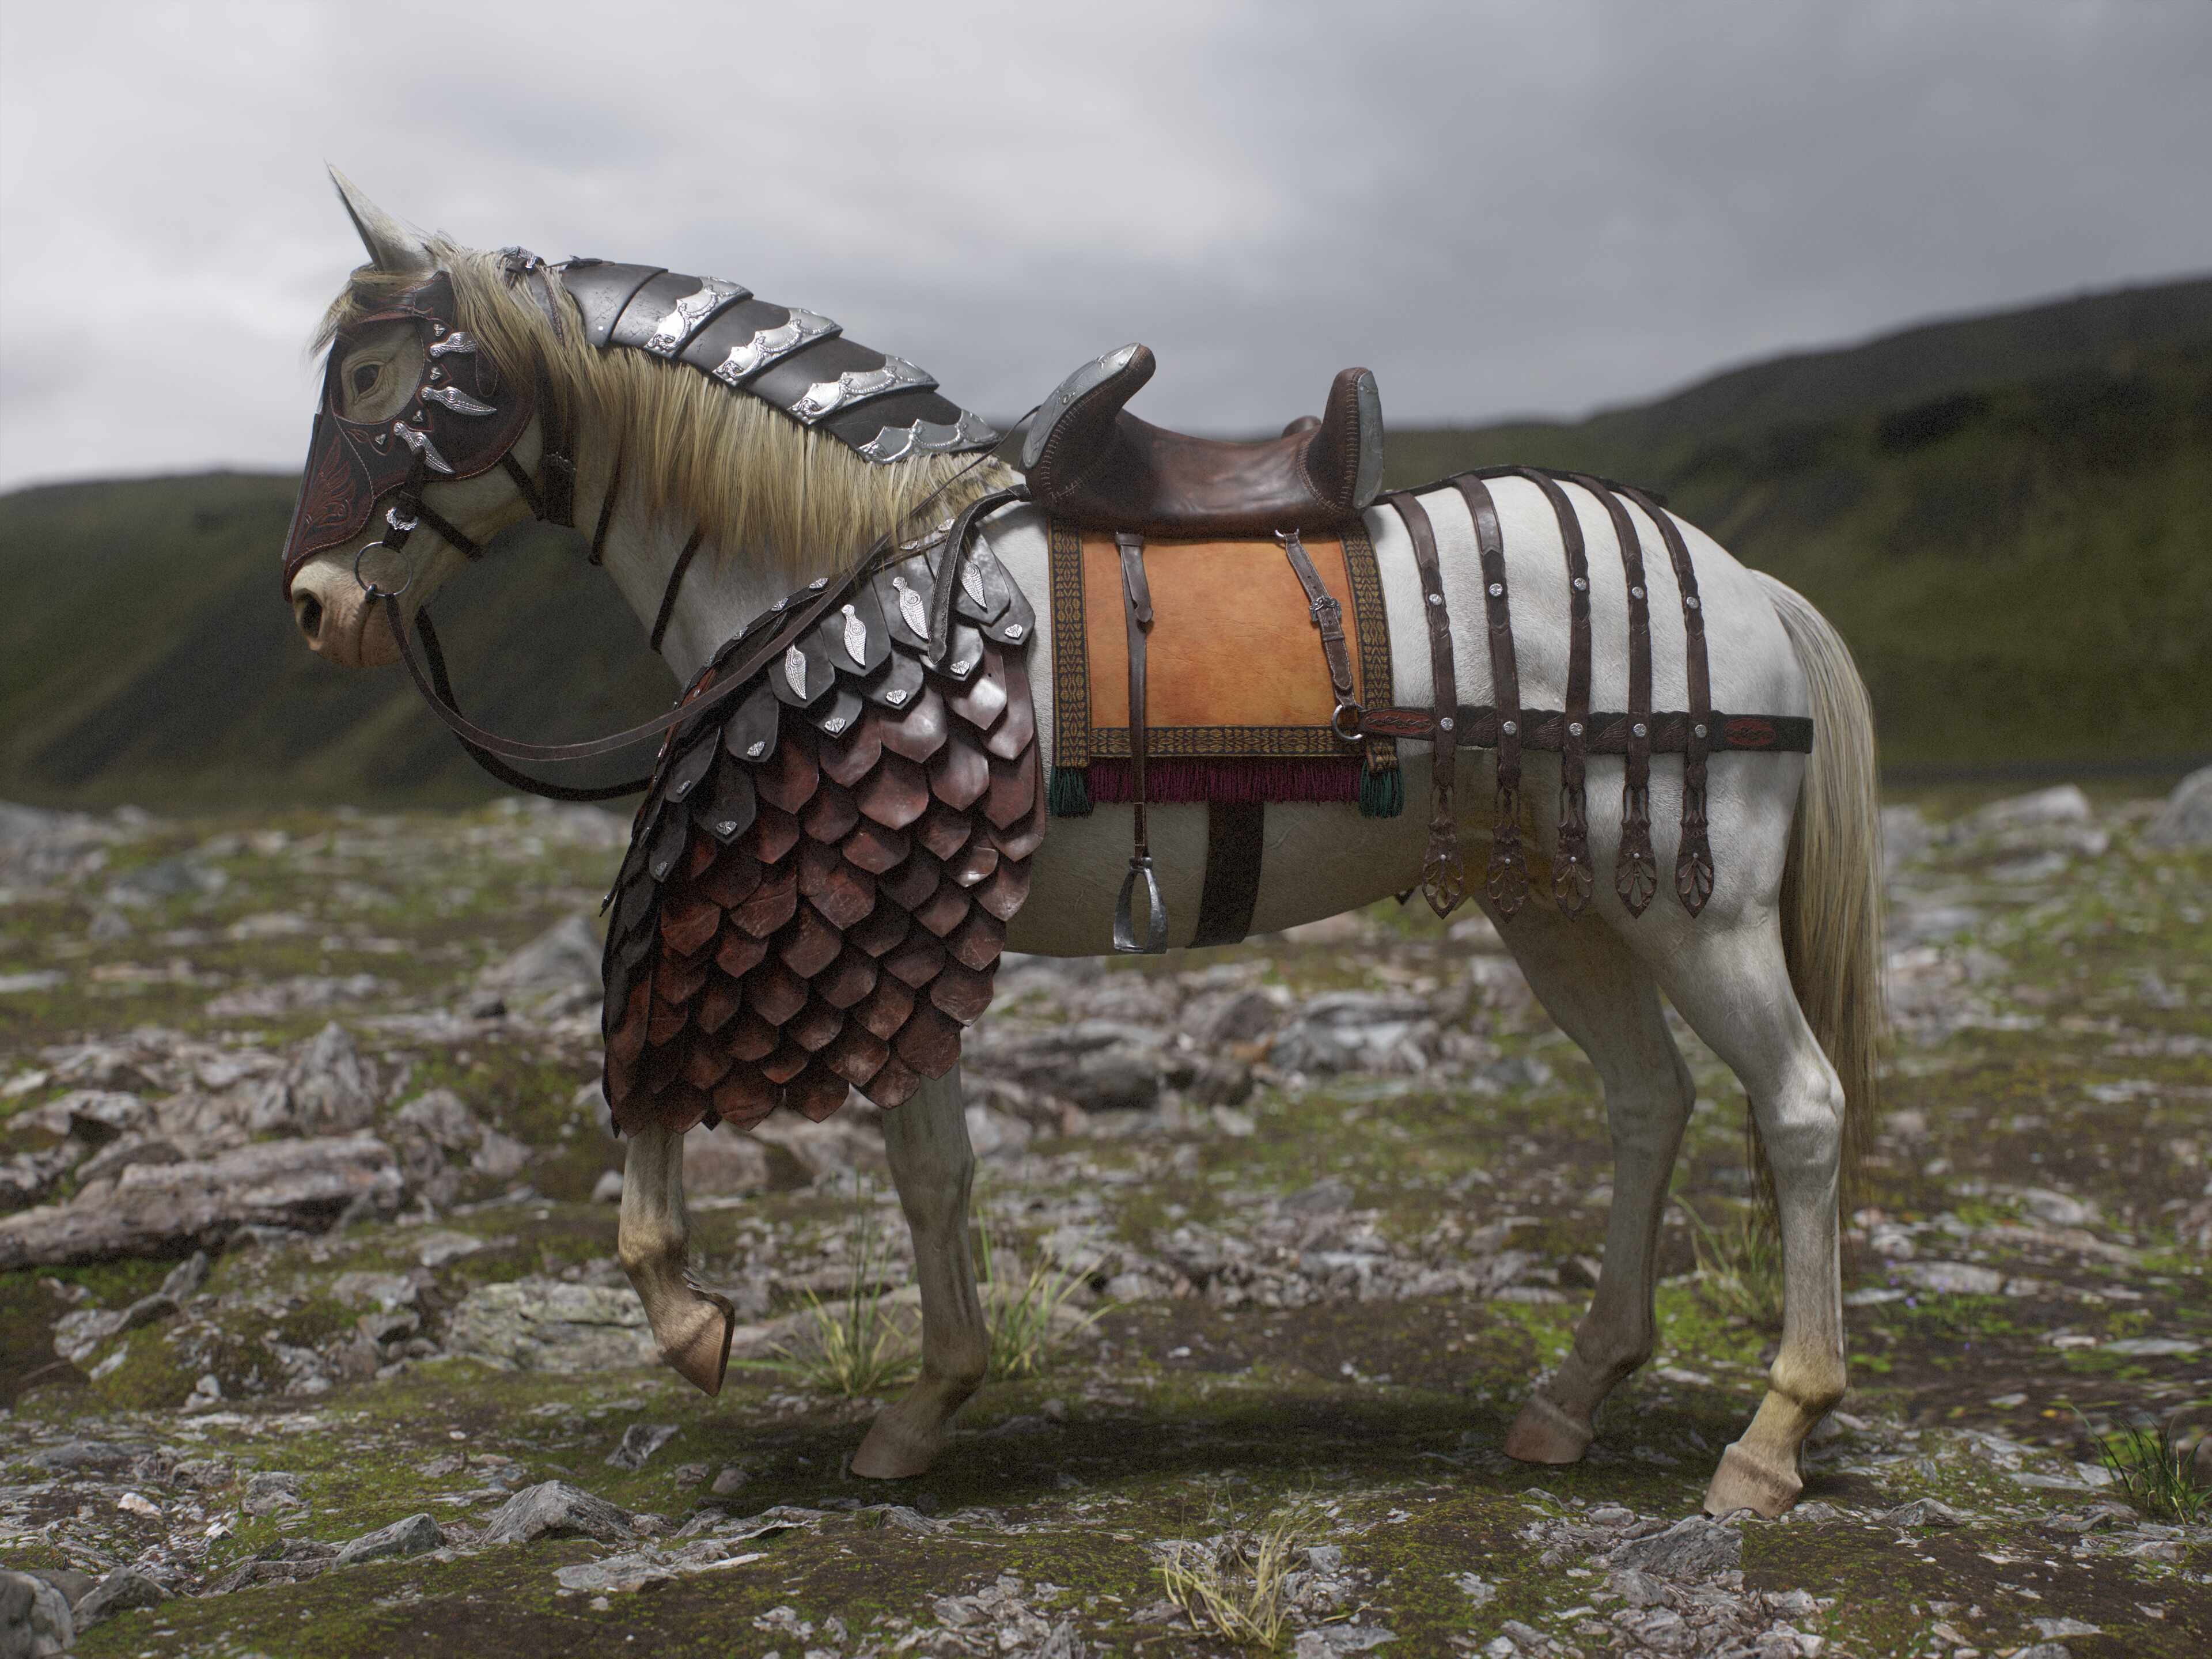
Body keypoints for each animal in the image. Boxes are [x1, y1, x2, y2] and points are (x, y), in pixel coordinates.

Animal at [281, 173, 1883, 1521]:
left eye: (370, 378)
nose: (315, 609)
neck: (830, 571)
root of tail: (1751, 586)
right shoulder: (879, 907)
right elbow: (922, 1169)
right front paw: (923, 1405)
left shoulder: (829, 896)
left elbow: (675, 1110)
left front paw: (695, 1326)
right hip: (1555, 901)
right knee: (1647, 1101)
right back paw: (1573, 1393)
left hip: (1695, 908)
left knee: (1801, 1106)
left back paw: (1771, 1436)